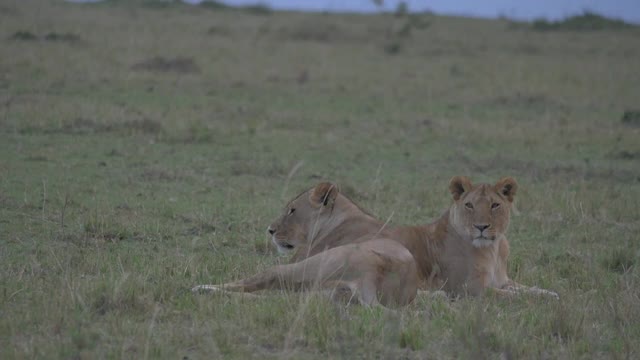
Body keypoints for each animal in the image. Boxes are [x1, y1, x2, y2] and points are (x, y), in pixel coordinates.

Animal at [192, 177, 556, 306]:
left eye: (292, 210)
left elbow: (529, 291)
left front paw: (548, 294)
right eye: (470, 206)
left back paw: (202, 288)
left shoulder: (478, 288)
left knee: (264, 283)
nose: (270, 231)